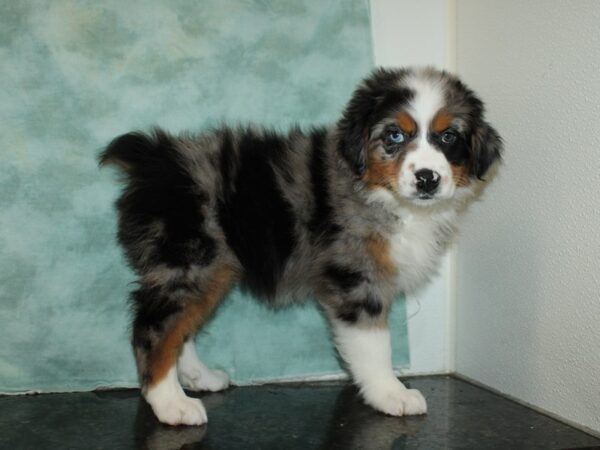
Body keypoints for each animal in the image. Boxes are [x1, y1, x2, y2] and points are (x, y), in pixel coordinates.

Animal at [99, 67, 502, 426]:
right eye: (394, 136)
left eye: (449, 138)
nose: (427, 179)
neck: (384, 198)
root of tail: (154, 159)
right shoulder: (355, 276)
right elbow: (374, 345)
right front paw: (391, 394)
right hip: (190, 259)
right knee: (153, 329)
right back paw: (171, 405)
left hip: (208, 269)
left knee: (181, 328)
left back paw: (201, 378)